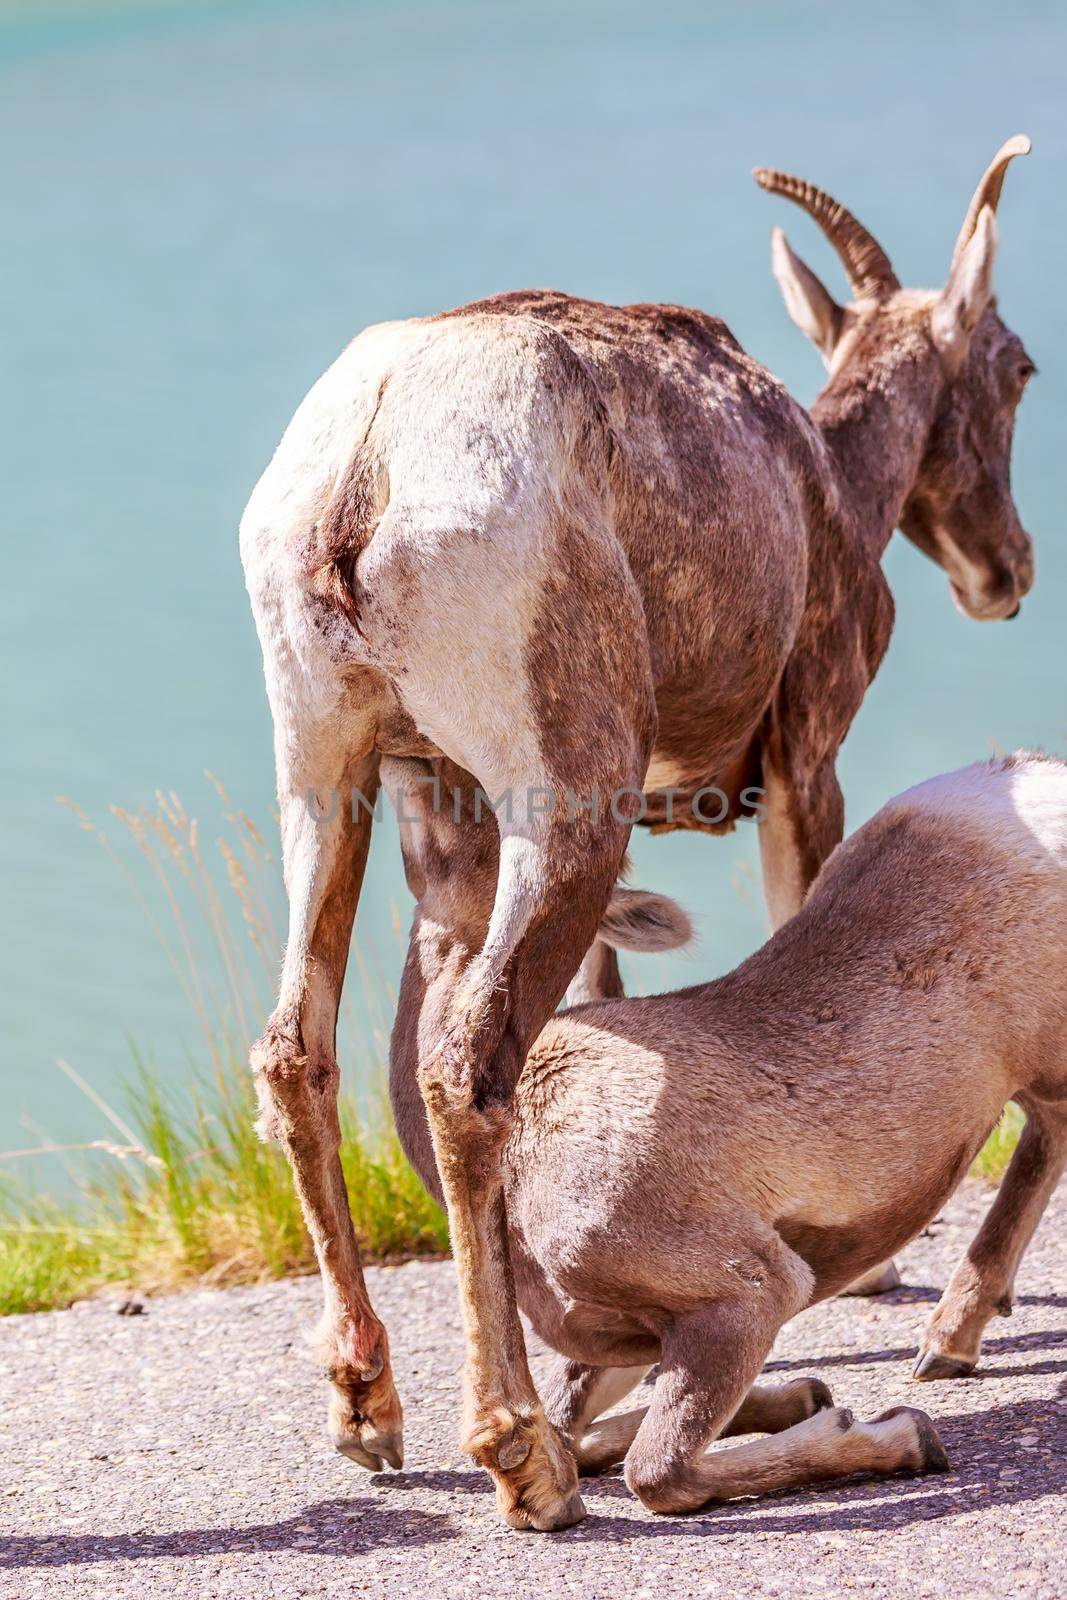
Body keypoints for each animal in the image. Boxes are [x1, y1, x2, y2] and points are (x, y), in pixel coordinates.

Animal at [390, 748, 1067, 1523]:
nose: (407, 766)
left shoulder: (745, 1295)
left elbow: (653, 1472)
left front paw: (896, 1434)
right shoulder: (623, 1340)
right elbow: (569, 1432)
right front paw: (804, 1396)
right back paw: (950, 1344)